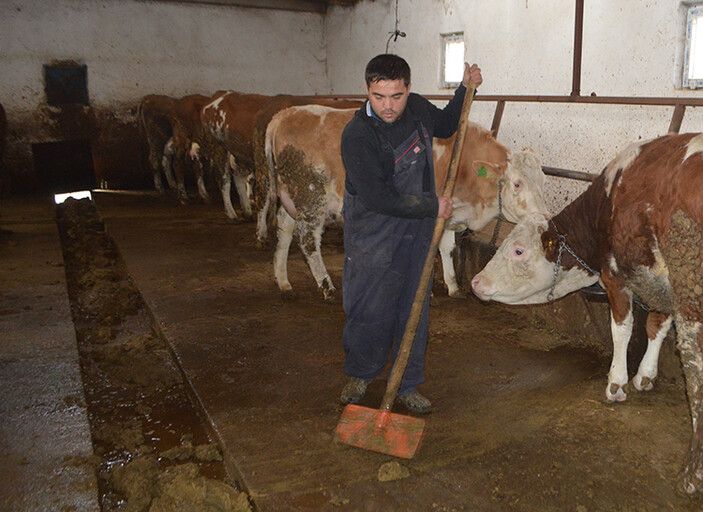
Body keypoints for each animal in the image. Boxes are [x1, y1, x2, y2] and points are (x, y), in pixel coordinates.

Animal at [202, 91, 274, 219]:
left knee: (239, 176)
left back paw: (247, 210)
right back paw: (231, 214)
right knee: (224, 179)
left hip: (241, 154)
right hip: (219, 148)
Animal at [260, 105, 552, 300]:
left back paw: (282, 279)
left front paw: (452, 285)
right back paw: (326, 285)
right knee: (308, 241)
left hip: (292, 198)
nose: (545, 217)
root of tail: (283, 115)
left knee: (284, 229)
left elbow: (446, 248)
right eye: (517, 183)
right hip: (311, 198)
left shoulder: (450, 215)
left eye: (542, 179)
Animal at [470, 133, 703, 496]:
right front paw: (645, 376)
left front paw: (616, 384)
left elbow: (623, 328)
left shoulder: (616, 275)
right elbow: (656, 326)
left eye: (518, 250)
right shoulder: (662, 285)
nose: (476, 281)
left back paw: (692, 474)